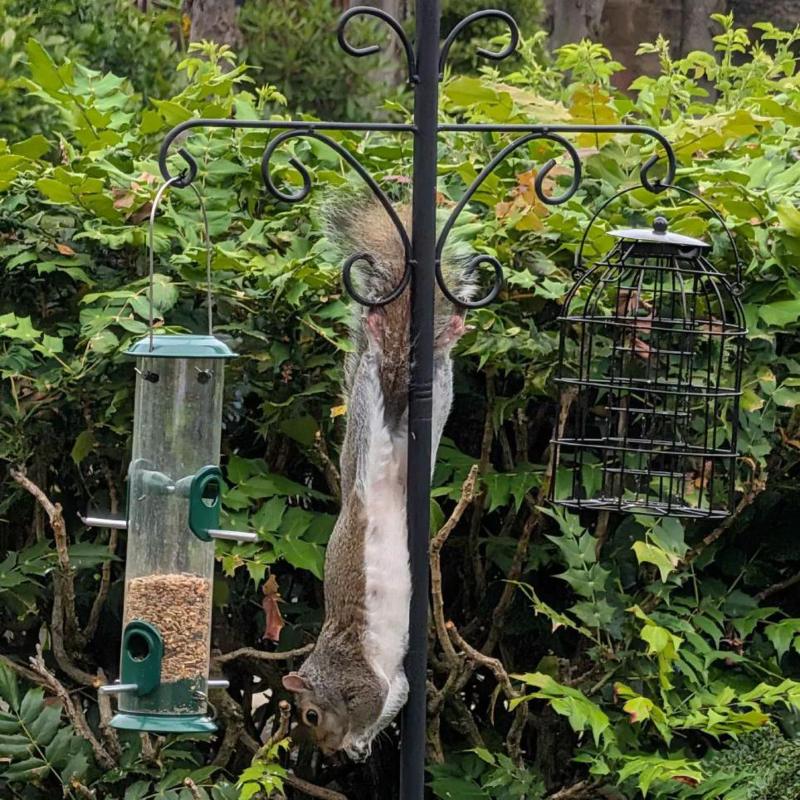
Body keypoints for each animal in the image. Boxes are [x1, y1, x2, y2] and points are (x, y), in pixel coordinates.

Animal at [282, 199, 473, 761]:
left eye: (309, 714)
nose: (325, 751)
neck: (329, 674)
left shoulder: (363, 683)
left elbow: (376, 703)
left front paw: (356, 739)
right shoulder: (396, 683)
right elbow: (403, 692)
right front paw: (358, 747)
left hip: (365, 431)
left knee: (370, 371)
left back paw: (380, 330)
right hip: (411, 447)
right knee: (439, 382)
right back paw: (445, 337)